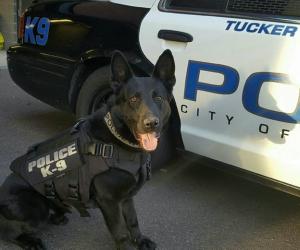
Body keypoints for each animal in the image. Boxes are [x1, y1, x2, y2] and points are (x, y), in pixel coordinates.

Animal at [0, 49, 175, 249]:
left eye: (158, 98)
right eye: (133, 99)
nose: (151, 123)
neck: (118, 138)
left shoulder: (126, 197)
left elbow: (132, 221)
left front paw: (140, 240)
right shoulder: (109, 201)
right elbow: (121, 232)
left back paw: (57, 217)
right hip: (36, 207)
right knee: (8, 232)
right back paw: (31, 241)